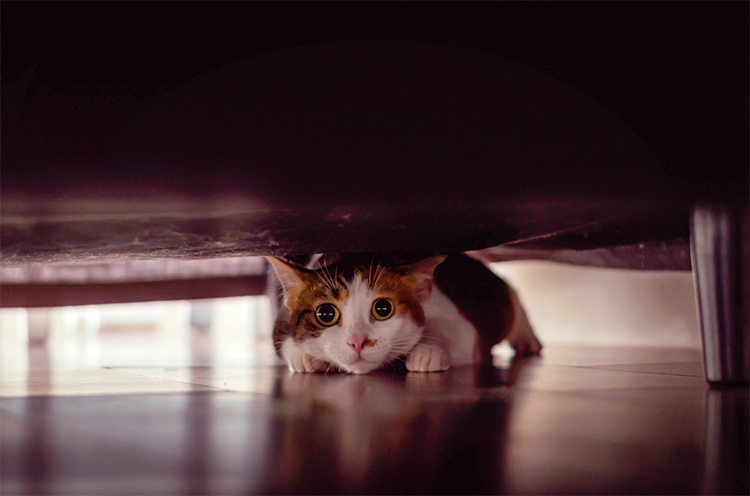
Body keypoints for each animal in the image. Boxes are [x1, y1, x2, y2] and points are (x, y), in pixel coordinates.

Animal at [268, 254, 544, 374]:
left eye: (382, 309)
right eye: (325, 313)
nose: (357, 342)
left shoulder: (452, 316)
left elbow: (455, 331)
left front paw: (427, 351)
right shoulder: (281, 319)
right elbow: (284, 339)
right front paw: (304, 356)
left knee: (513, 297)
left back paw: (527, 340)